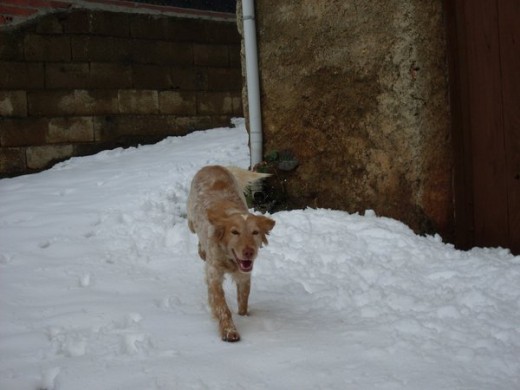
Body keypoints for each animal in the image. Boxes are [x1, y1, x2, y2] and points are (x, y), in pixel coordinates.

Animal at [188, 165, 276, 342]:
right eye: (235, 232)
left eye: (255, 232)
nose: (249, 252)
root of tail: (213, 165)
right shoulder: (214, 275)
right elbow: (222, 306)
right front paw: (229, 331)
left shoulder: (244, 276)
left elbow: (243, 301)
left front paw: (244, 317)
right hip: (191, 220)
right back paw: (201, 251)